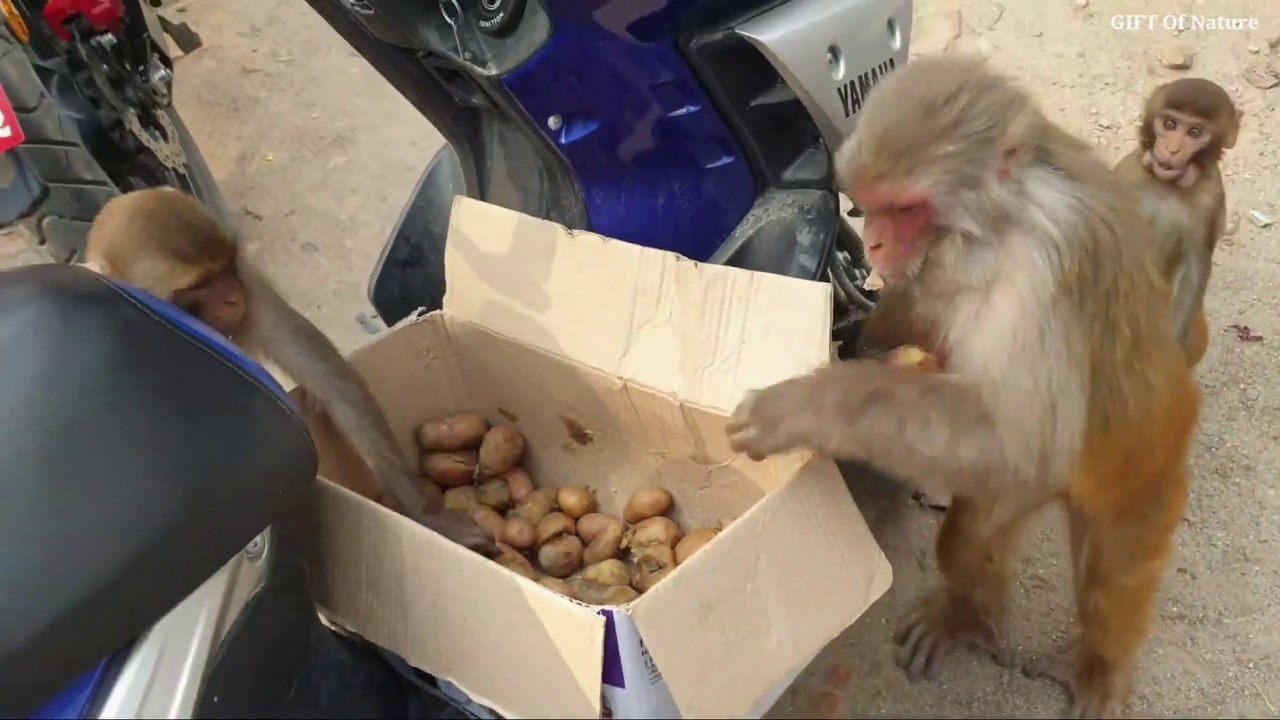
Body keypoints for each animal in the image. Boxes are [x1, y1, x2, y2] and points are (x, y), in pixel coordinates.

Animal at [81, 188, 494, 554]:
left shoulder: (251, 284)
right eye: (198, 288)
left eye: (227, 268)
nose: (233, 297)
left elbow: (325, 376)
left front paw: (427, 517)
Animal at [725, 56, 1199, 718]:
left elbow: (1021, 437)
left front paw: (801, 407)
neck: (995, 227)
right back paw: (967, 616)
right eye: (868, 207)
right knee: (972, 537)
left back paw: (1102, 665)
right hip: (1025, 493)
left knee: (1114, 578)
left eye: (906, 209)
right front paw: (862, 335)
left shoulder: (1039, 267)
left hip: (1140, 469)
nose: (872, 243)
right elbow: (928, 312)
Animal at [1113, 77, 1241, 368]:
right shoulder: (1127, 173)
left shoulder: (1210, 199)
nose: (1172, 149)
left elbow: (1193, 269)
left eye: (1194, 132)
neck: (1167, 187)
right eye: (1169, 124)